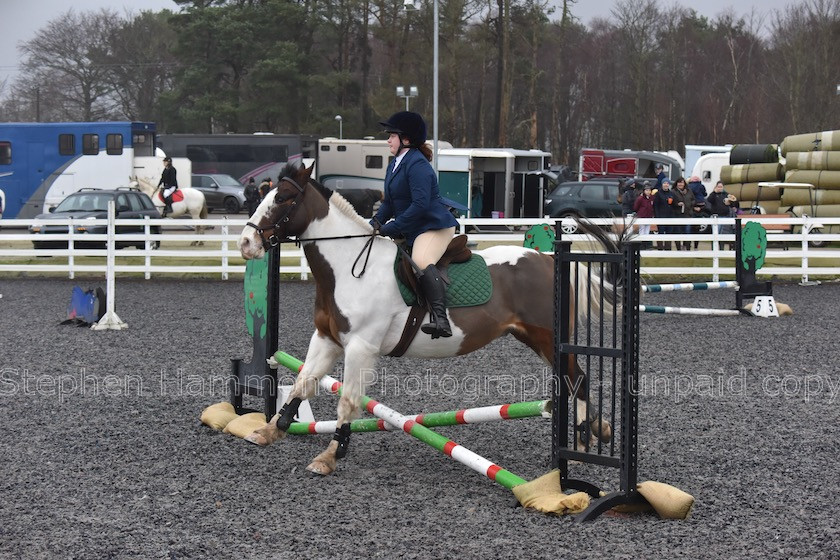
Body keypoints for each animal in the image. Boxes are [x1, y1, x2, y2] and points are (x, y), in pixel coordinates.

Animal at [238, 163, 616, 476]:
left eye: (282, 198)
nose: (245, 243)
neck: (347, 268)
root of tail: (548, 260)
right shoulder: (327, 338)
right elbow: (303, 382)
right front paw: (271, 429)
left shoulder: (361, 346)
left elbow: (348, 400)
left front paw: (330, 455)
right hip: (536, 339)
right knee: (573, 382)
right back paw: (595, 433)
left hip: (548, 339)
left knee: (578, 381)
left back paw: (584, 442)